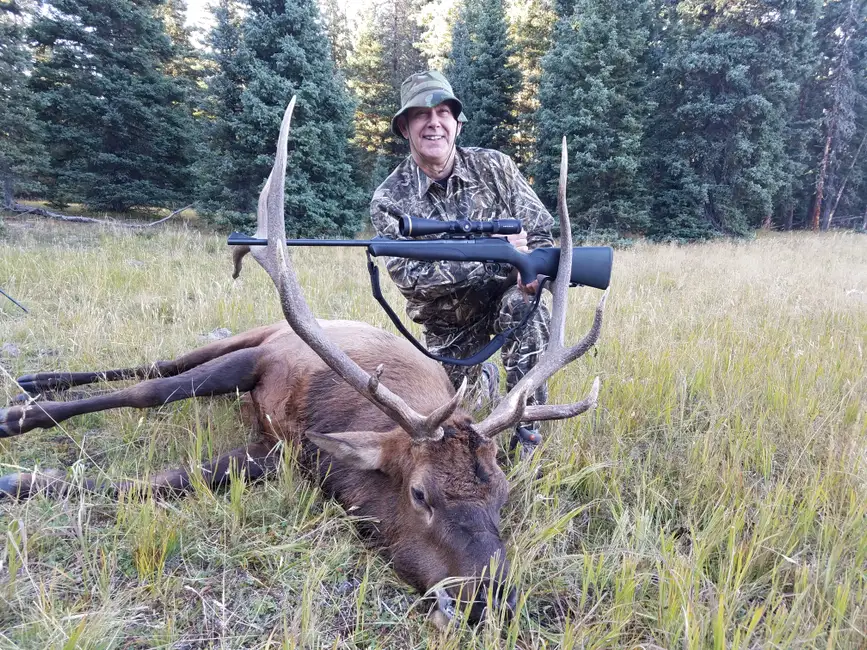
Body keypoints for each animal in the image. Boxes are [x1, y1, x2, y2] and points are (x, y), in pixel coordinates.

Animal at [0, 98, 606, 627]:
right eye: (420, 493)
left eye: (502, 495)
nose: (492, 600)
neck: (327, 413)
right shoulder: (262, 359)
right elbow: (150, 396)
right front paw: (17, 440)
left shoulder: (280, 455)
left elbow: (171, 480)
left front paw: (28, 477)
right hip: (248, 333)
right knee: (159, 367)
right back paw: (34, 384)